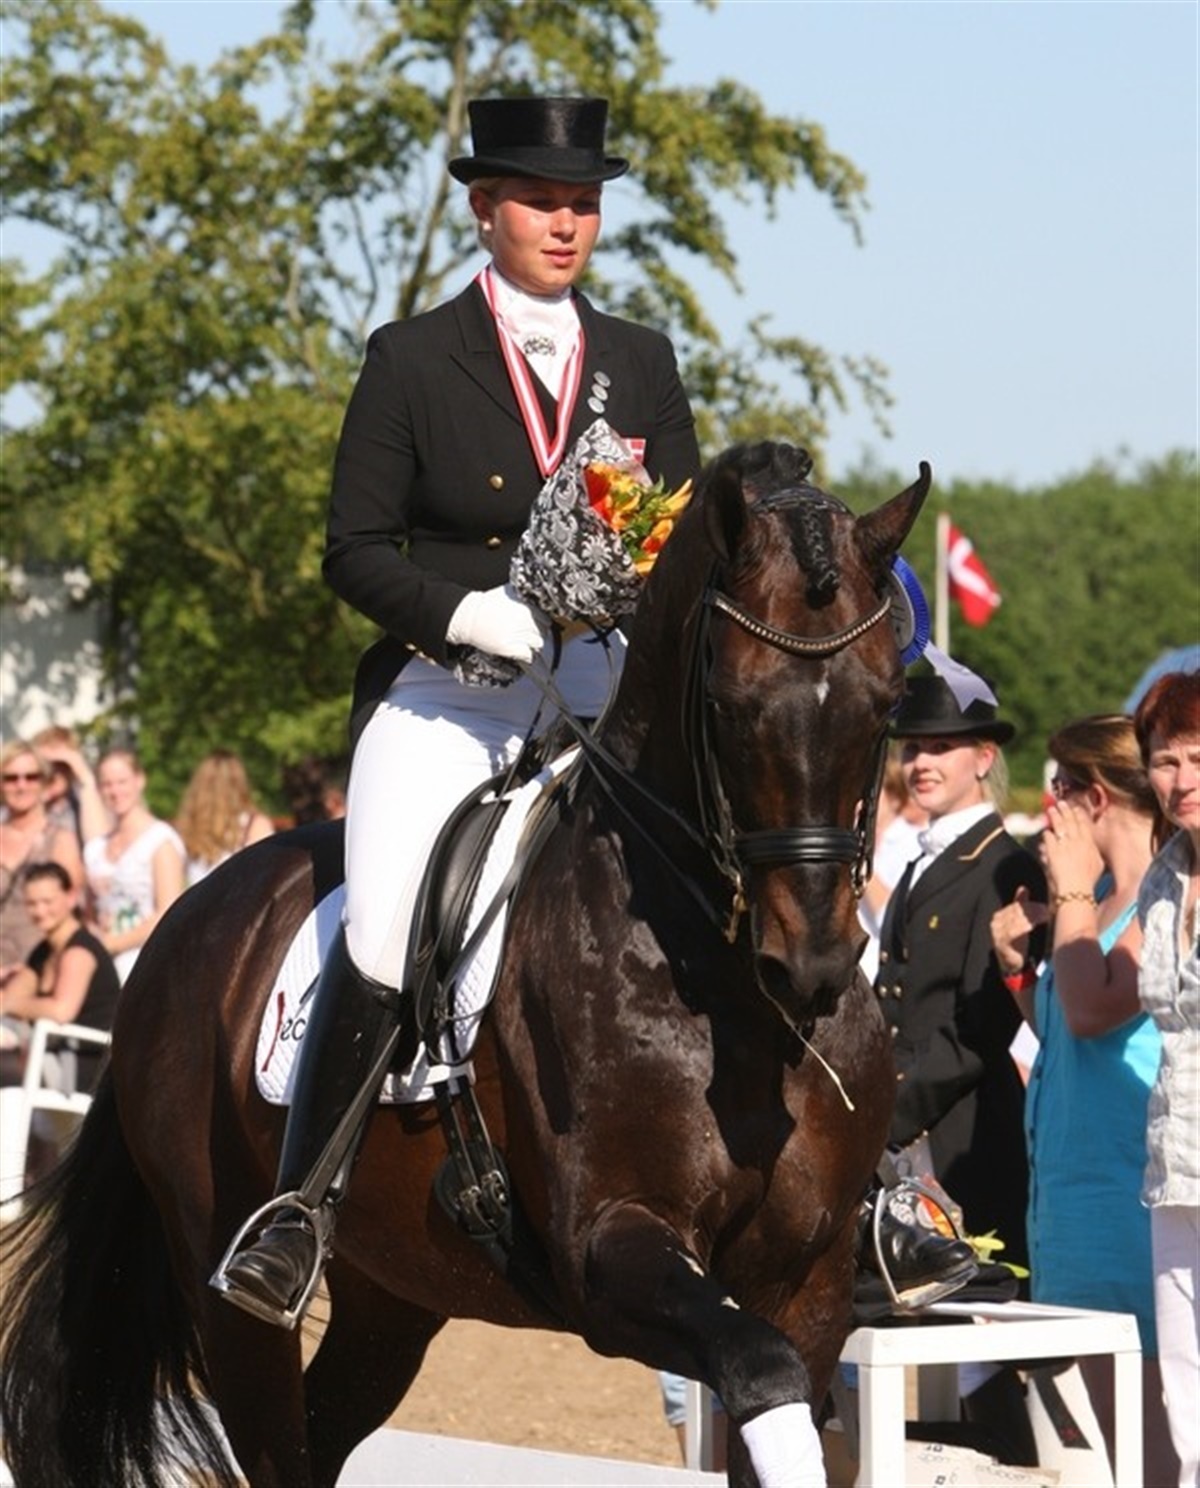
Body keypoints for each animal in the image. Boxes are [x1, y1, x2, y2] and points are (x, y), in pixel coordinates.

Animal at [0, 441, 929, 1488]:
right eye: (730, 706)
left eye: (887, 704)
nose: (810, 964)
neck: (731, 1007)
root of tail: (185, 919)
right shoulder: (611, 1249)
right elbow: (757, 1368)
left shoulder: (809, 1285)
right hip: (228, 1287)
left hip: (392, 1291)